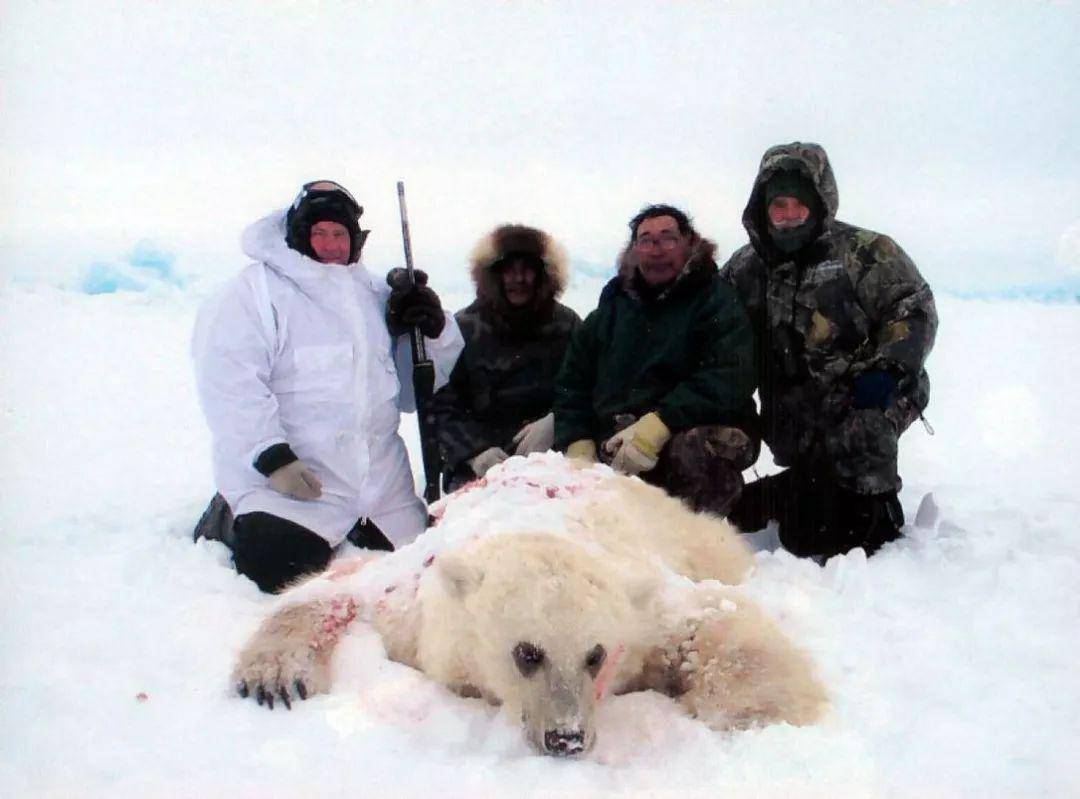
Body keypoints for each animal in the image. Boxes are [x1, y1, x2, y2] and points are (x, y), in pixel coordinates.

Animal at [230, 453, 825, 751]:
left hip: (678, 527)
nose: (566, 738)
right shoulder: (411, 599)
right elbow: (336, 587)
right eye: (527, 653)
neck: (536, 527)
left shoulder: (644, 604)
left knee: (719, 549)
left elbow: (710, 616)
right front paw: (274, 680)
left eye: (596, 654)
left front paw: (745, 710)